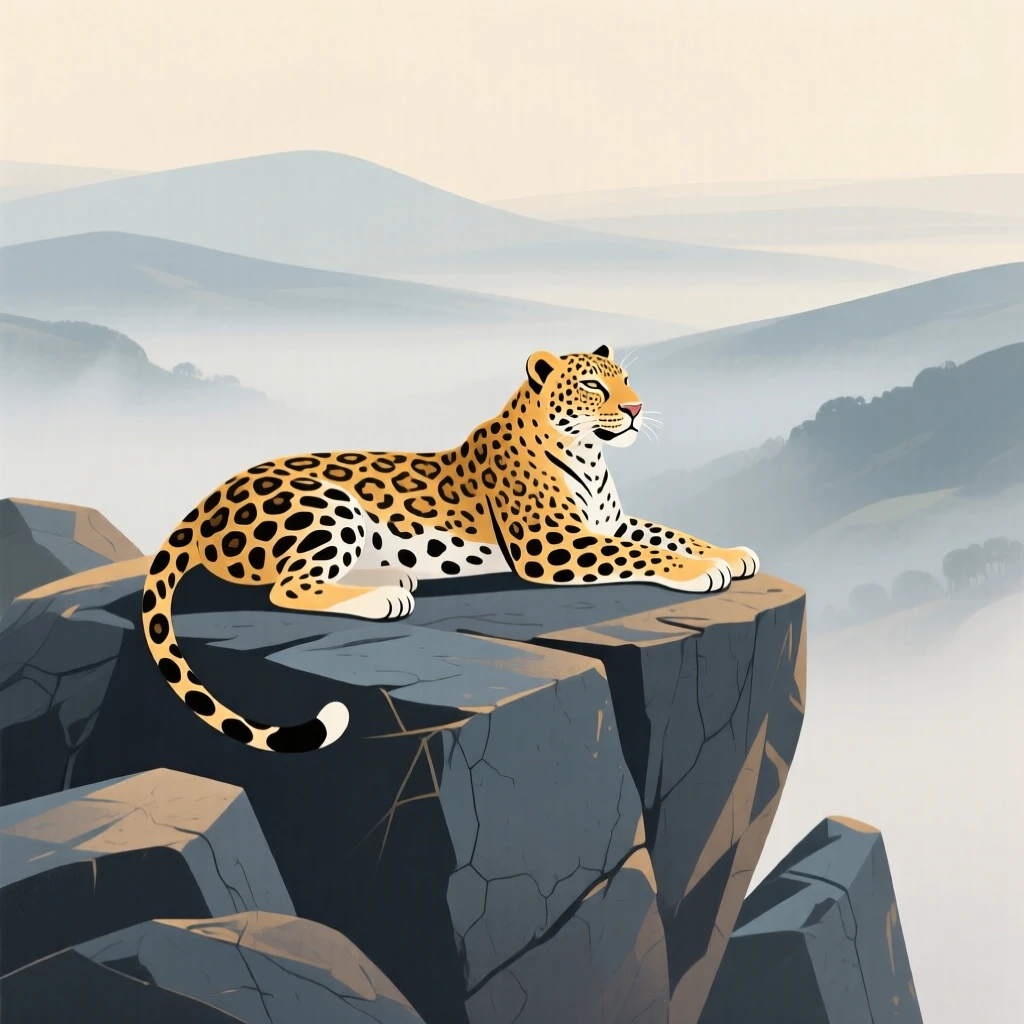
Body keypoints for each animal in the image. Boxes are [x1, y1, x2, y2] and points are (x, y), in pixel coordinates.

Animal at [142, 345, 759, 754]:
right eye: (593, 386)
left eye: (627, 379)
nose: (635, 409)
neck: (590, 456)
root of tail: (207, 500)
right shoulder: (553, 545)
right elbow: (644, 555)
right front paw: (704, 568)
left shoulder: (612, 521)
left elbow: (667, 533)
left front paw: (731, 552)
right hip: (327, 504)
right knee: (287, 587)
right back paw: (386, 597)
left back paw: (394, 577)